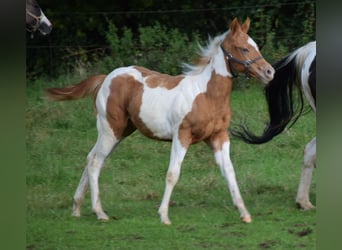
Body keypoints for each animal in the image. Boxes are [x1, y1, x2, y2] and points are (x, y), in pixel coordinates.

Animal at [46, 18, 276, 225]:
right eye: (243, 49)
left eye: (255, 46)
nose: (269, 72)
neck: (207, 95)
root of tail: (106, 78)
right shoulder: (181, 135)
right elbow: (173, 174)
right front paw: (164, 216)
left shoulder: (218, 136)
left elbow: (229, 171)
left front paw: (244, 213)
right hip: (111, 130)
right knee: (95, 162)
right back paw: (100, 212)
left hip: (118, 133)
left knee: (91, 157)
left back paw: (76, 208)